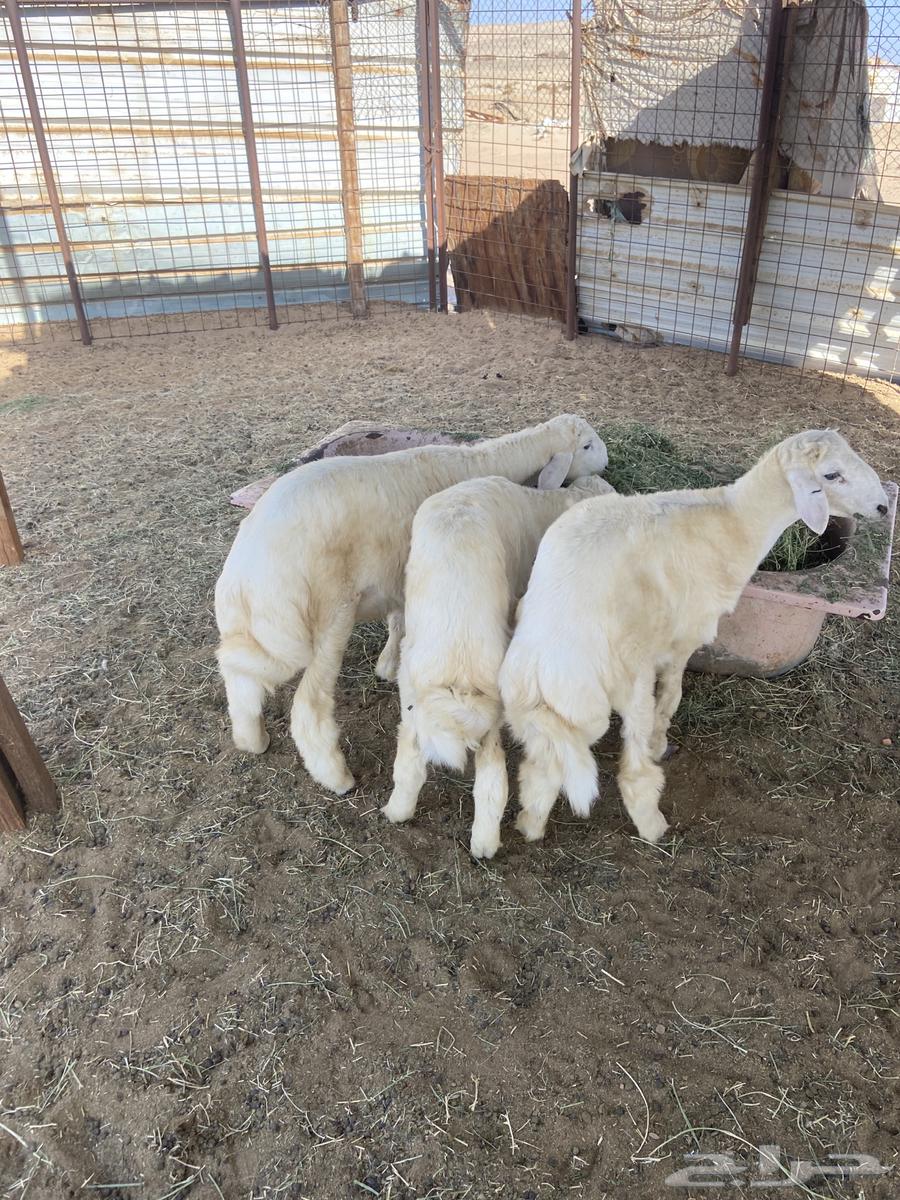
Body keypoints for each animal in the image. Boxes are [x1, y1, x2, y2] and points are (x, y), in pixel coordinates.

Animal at [215, 414, 608, 795]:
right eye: (587, 445)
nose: (606, 463)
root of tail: (250, 574)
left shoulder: (405, 576)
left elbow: (399, 621)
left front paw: (388, 664)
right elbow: (402, 621)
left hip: (246, 628)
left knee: (239, 679)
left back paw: (253, 740)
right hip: (331, 615)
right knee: (308, 708)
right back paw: (337, 778)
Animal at [382, 469, 616, 859]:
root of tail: (460, 668)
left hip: (421, 703)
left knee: (418, 764)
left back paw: (402, 813)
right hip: (486, 708)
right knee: (492, 782)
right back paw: (484, 843)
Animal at [498, 429, 889, 845]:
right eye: (832, 475)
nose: (883, 507)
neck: (734, 521)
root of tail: (543, 670)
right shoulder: (684, 635)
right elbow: (671, 696)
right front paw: (660, 740)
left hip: (543, 722)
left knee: (540, 773)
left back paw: (530, 827)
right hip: (624, 684)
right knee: (632, 773)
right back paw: (653, 825)